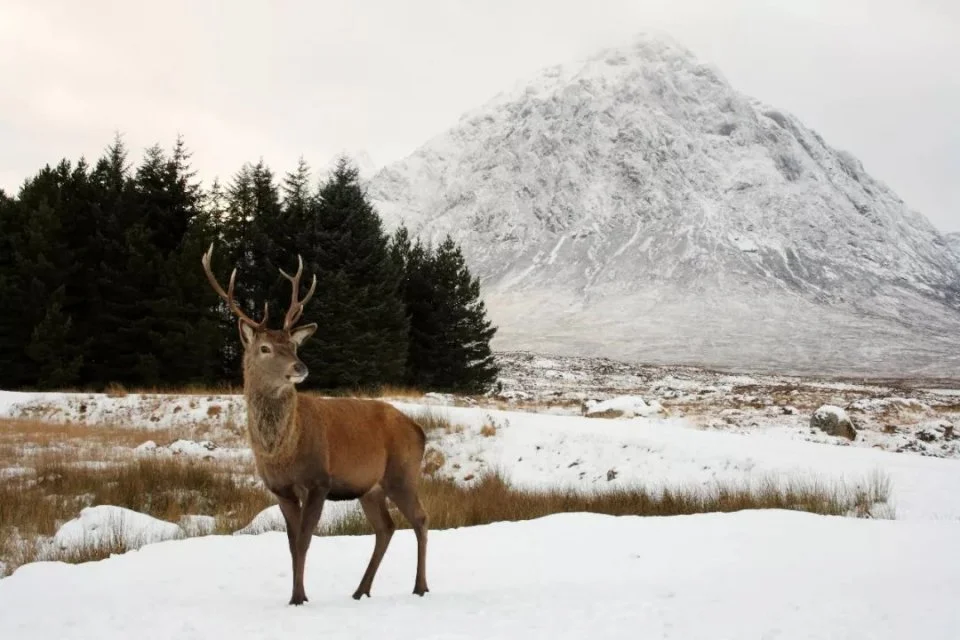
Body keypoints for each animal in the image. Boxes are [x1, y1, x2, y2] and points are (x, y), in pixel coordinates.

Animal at [203, 244, 432, 604]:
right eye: (265, 347)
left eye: (294, 345)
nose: (300, 367)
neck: (281, 450)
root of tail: (419, 431)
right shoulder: (280, 489)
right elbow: (291, 543)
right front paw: (296, 595)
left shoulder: (318, 481)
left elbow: (304, 541)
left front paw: (299, 597)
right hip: (370, 487)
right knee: (386, 527)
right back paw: (360, 590)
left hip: (402, 473)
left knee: (421, 519)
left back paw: (420, 586)